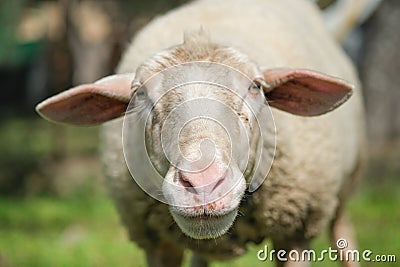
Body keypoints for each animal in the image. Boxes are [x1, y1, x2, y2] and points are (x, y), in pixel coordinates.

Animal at [35, 1, 366, 266]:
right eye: (139, 93)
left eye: (255, 87)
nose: (203, 182)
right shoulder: (157, 243)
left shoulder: (296, 233)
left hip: (346, 185)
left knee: (343, 233)